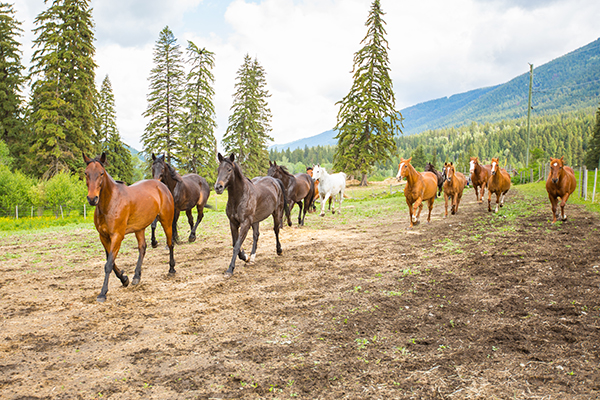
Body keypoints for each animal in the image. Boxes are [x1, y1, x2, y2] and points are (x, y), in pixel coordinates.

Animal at [81, 153, 173, 304]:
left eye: (101, 173)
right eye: (86, 173)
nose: (92, 199)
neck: (110, 203)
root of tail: (161, 185)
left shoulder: (117, 236)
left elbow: (109, 264)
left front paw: (102, 293)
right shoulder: (104, 237)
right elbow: (111, 261)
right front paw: (124, 279)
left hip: (167, 221)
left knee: (170, 244)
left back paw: (171, 269)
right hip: (139, 228)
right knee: (142, 247)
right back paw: (136, 276)